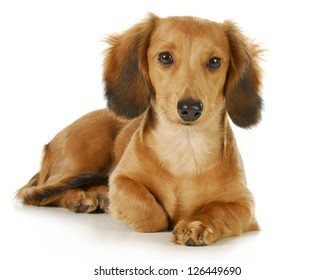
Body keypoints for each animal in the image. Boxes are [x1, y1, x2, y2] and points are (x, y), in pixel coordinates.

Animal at [16, 13, 264, 245]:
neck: (185, 149)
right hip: (81, 160)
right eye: (165, 57)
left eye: (214, 61)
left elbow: (220, 210)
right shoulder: (121, 179)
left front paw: (198, 225)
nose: (190, 109)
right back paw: (80, 197)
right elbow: (151, 213)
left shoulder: (245, 205)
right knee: (40, 193)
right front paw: (118, 205)